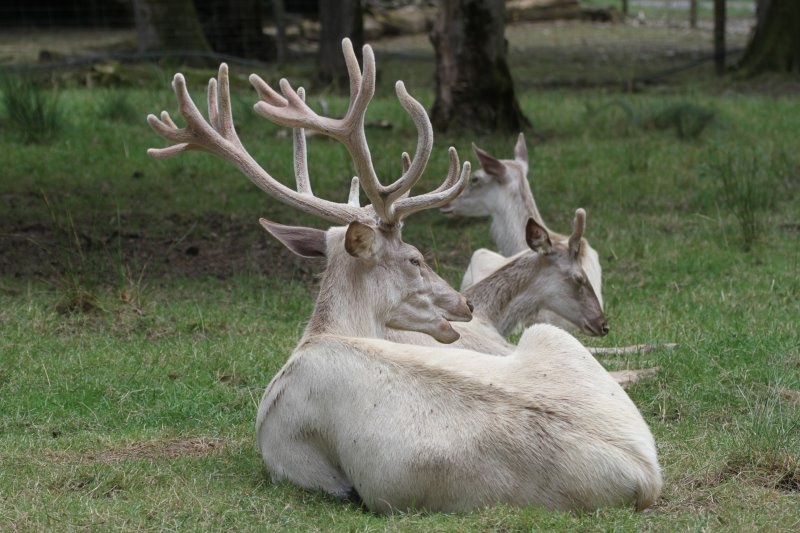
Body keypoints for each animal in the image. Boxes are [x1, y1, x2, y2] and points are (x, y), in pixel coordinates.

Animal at [147, 37, 660, 512]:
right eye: (415, 258)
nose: (465, 304)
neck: (320, 336)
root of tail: (645, 473)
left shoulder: (291, 459)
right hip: (555, 338)